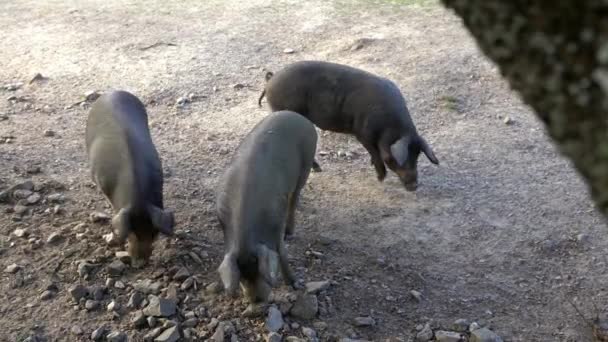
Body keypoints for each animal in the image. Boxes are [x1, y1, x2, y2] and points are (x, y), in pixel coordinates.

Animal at [215, 111, 318, 304]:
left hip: (306, 164)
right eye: (242, 277)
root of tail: (300, 117)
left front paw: (296, 285)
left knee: (295, 197)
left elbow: (282, 253)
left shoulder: (276, 221)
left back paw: (290, 232)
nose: (256, 300)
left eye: (259, 272)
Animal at [258, 60, 440, 191]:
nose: (414, 186)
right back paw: (319, 169)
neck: (388, 127)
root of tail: (270, 81)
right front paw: (380, 178)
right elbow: (375, 153)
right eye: (394, 159)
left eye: (417, 155)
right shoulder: (362, 134)